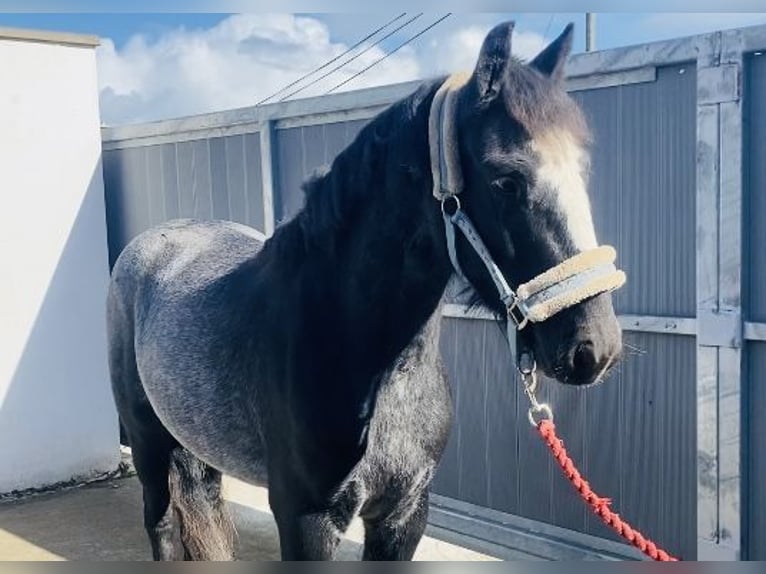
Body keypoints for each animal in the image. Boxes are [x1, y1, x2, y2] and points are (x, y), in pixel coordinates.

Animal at [106, 22, 624, 564]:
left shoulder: (404, 514)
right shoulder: (305, 521)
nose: (595, 348)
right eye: (505, 180)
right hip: (147, 443)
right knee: (162, 524)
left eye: (582, 172)